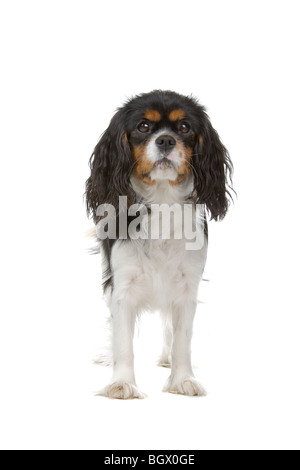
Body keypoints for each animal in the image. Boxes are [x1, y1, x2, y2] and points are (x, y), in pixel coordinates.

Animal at [85, 90, 233, 398]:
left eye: (185, 127)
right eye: (143, 126)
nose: (165, 140)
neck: (163, 202)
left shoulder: (187, 286)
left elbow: (181, 339)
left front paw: (182, 379)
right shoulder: (122, 286)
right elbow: (123, 341)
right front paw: (122, 383)